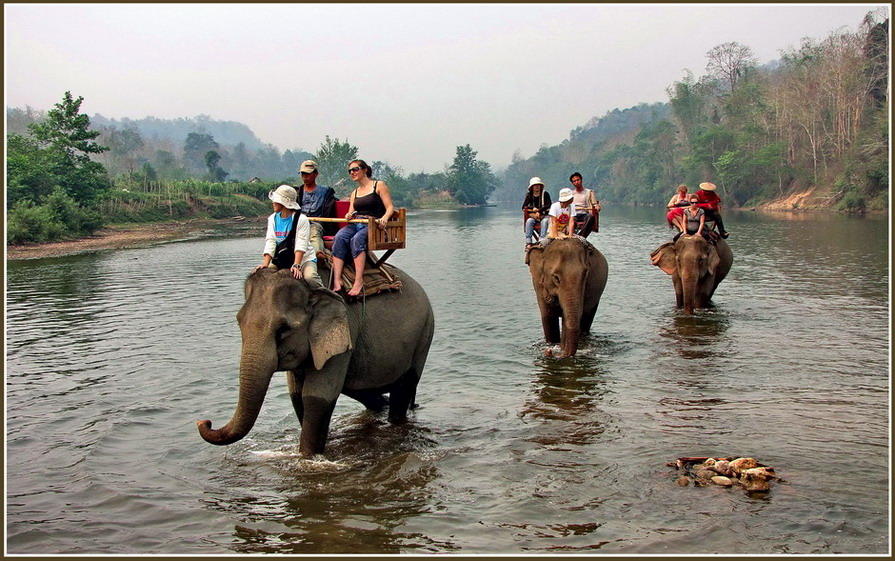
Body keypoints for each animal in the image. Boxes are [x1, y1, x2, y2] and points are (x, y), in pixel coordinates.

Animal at [198, 260, 436, 458]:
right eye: (239, 322)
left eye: (282, 330)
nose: (205, 421)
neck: (311, 290)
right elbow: (297, 395)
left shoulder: (344, 331)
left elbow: (316, 395)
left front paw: (307, 458)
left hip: (423, 336)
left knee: (404, 387)